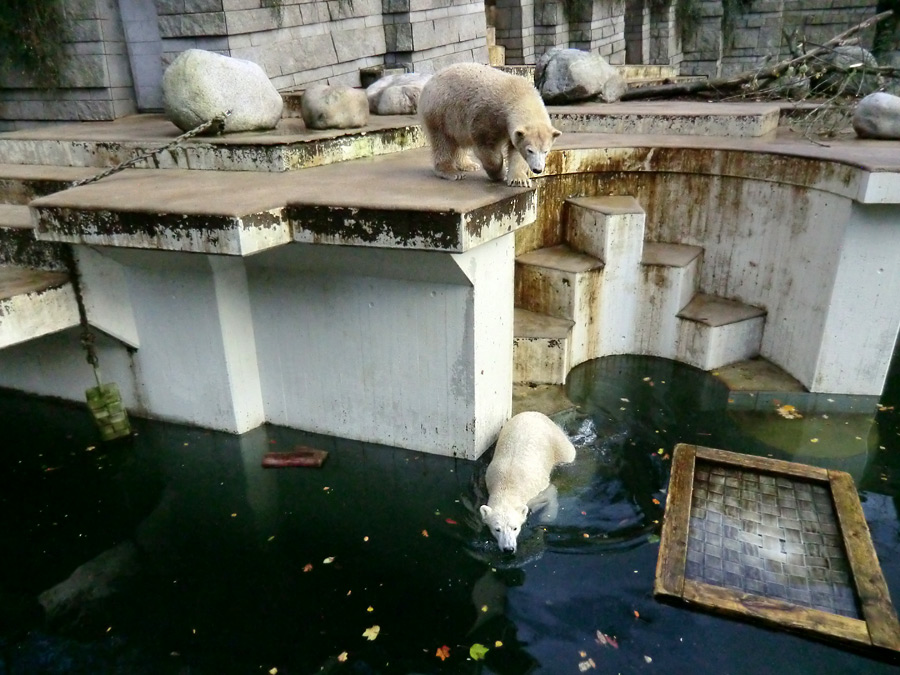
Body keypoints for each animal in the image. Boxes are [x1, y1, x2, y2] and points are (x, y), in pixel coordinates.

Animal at [418, 63, 560, 187]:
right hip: (440, 111)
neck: (517, 94)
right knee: (442, 141)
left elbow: (515, 149)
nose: (537, 169)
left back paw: (468, 165)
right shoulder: (488, 116)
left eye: (546, 151)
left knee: (458, 140)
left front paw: (519, 180)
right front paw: (500, 174)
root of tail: (429, 81)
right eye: (530, 150)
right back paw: (451, 172)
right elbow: (486, 147)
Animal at [478, 412, 576, 556]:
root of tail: (532, 413)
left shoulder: (536, 491)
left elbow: (551, 493)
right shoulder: (488, 480)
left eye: (515, 528)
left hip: (557, 442)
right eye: (497, 529)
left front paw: (546, 518)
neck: (507, 486)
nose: (508, 549)